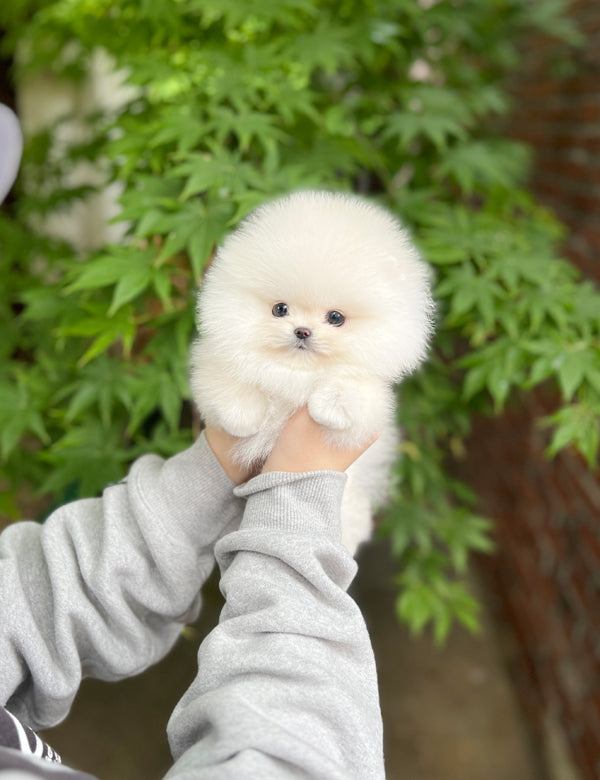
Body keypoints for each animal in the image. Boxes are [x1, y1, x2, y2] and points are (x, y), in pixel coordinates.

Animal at [195, 191, 434, 552]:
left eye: (336, 317)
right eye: (280, 309)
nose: (302, 331)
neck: (297, 375)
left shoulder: (370, 395)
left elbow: (354, 392)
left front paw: (329, 406)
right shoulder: (217, 358)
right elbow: (226, 378)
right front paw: (243, 416)